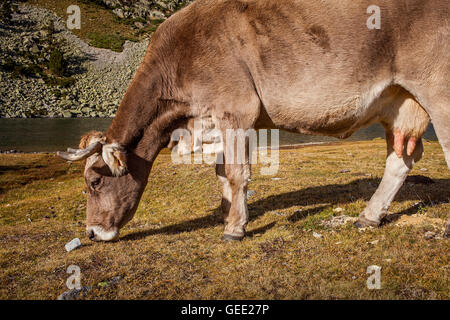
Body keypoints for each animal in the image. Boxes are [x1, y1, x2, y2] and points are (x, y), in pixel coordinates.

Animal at [58, 0, 448, 240]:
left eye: (93, 181)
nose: (91, 232)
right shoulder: (214, 117)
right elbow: (221, 172)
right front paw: (227, 212)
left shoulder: (236, 107)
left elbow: (236, 173)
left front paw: (234, 228)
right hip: (399, 102)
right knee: (401, 159)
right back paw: (369, 215)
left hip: (438, 91)